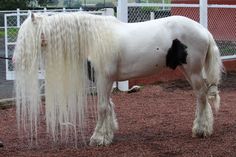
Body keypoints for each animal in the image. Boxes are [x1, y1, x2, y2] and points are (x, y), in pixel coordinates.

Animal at [12, 11, 223, 146]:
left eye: (26, 35)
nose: (14, 60)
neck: (93, 39)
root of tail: (204, 31)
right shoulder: (105, 80)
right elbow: (109, 105)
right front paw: (109, 133)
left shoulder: (104, 78)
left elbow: (102, 107)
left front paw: (98, 138)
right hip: (187, 71)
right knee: (200, 95)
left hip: (193, 70)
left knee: (202, 96)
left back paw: (201, 130)